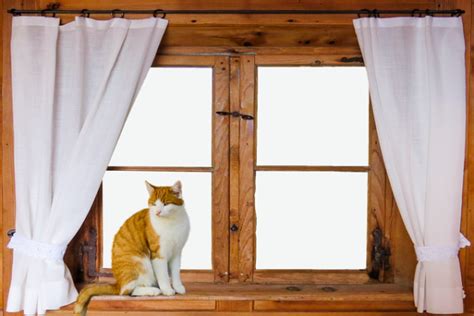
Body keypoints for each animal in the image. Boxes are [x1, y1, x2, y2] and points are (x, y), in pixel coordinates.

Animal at [74, 180, 189, 316]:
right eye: (154, 204)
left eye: (166, 204)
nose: (158, 212)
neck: (171, 222)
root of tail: (118, 283)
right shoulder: (158, 254)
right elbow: (163, 275)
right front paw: (167, 289)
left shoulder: (177, 252)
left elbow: (176, 273)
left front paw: (178, 287)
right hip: (140, 263)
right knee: (127, 292)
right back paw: (153, 290)